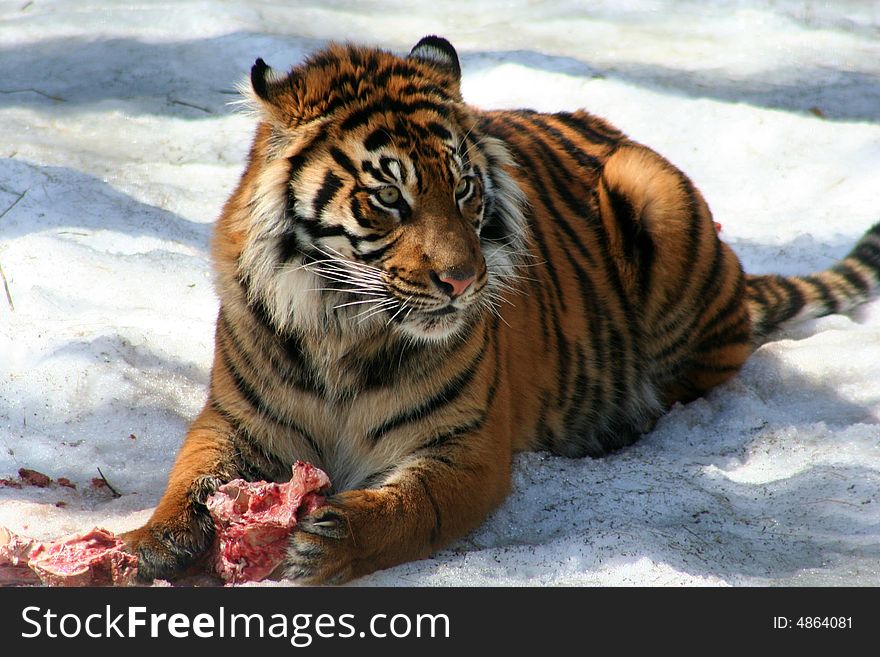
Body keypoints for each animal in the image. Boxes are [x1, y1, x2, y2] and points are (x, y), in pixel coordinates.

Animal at [122, 36, 880, 580]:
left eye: (463, 189)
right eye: (389, 197)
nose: (464, 281)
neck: (345, 327)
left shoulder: (466, 447)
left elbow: (408, 509)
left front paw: (327, 542)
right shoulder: (233, 419)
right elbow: (191, 478)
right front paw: (145, 543)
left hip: (655, 194)